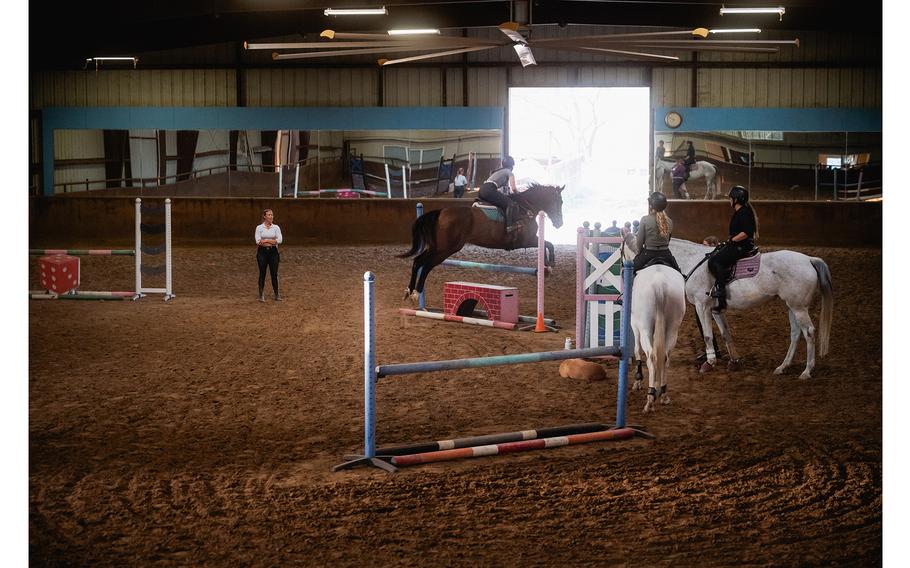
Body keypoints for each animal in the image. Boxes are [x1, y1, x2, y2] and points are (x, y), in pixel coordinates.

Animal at [400, 185, 564, 302]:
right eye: (560, 202)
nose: (560, 224)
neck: (526, 208)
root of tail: (441, 212)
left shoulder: (529, 240)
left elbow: (546, 244)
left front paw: (546, 266)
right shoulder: (527, 240)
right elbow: (548, 244)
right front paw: (550, 264)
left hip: (437, 247)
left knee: (418, 261)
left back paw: (408, 291)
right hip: (446, 249)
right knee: (426, 265)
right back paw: (416, 293)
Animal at [624, 233, 688, 410]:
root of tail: (660, 283)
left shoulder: (635, 324)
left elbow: (637, 350)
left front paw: (638, 381)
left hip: (646, 327)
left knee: (652, 356)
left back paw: (650, 397)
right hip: (673, 328)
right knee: (664, 356)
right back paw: (663, 393)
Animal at [668, 237, 832, 380]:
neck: (693, 261)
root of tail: (809, 259)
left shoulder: (701, 305)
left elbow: (708, 335)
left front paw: (709, 363)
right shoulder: (715, 309)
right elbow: (725, 333)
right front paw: (734, 361)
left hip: (799, 308)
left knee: (809, 332)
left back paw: (807, 371)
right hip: (792, 306)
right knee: (796, 333)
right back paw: (783, 367)